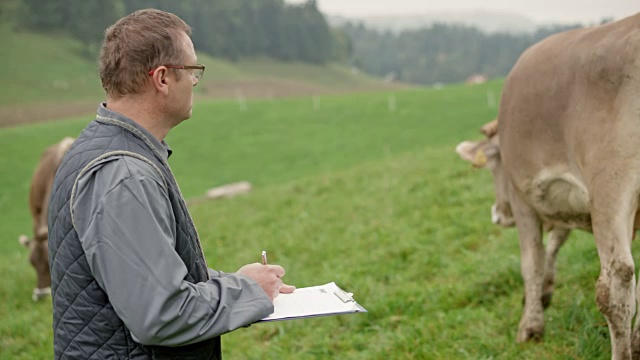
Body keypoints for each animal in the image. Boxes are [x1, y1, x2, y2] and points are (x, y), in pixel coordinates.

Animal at [458, 12, 640, 358]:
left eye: (494, 166)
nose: (497, 214)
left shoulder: (523, 198)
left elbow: (531, 260)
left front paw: (530, 325)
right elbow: (556, 240)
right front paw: (545, 292)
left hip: (609, 185)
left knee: (614, 284)